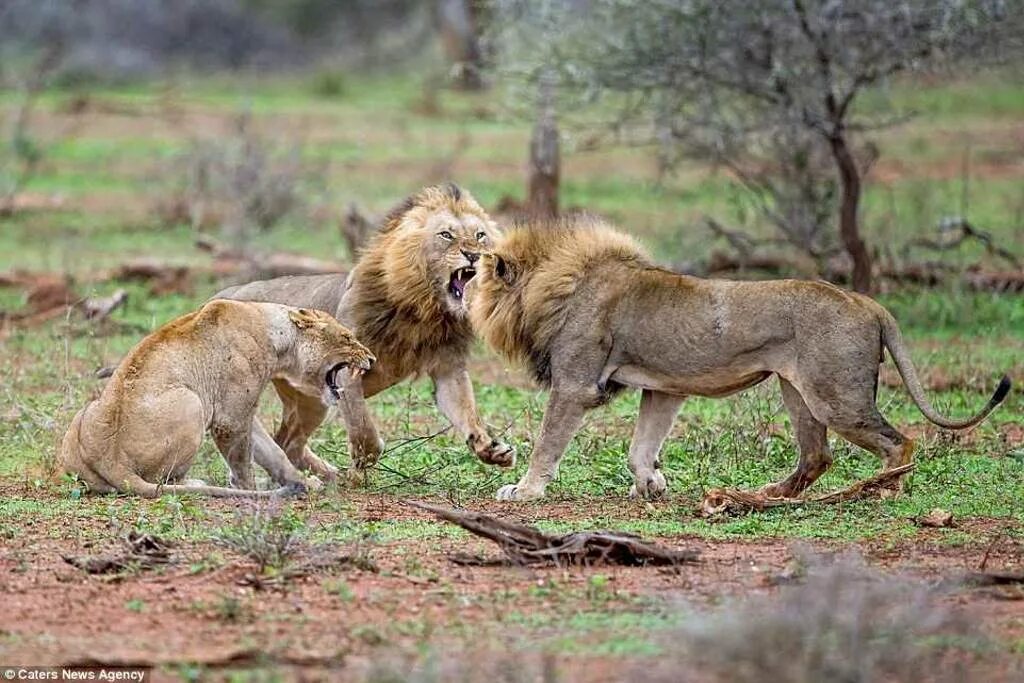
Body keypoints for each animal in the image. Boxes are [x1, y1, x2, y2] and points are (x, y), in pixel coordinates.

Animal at [58, 301, 374, 499]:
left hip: (86, 413)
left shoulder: (244, 414)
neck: (278, 338)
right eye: (347, 337)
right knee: (162, 481)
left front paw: (304, 482)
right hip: (192, 402)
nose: (372, 359)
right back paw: (197, 482)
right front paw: (251, 491)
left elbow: (273, 453)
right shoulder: (230, 419)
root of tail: (111, 461)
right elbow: (243, 461)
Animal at [219, 184, 516, 483]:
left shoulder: (448, 369)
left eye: (480, 235)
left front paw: (491, 448)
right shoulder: (345, 368)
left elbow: (466, 411)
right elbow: (363, 427)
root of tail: (224, 293)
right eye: (446, 235)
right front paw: (361, 464)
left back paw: (326, 477)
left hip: (310, 400)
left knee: (288, 442)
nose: (474, 255)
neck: (426, 310)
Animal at [468, 218, 1011, 501]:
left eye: (476, 275)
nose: (461, 283)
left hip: (836, 396)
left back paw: (882, 490)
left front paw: (524, 491)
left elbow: (547, 443)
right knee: (818, 455)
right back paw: (772, 495)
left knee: (901, 443)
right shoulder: (664, 388)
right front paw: (652, 486)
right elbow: (641, 447)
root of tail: (869, 302)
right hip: (799, 391)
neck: (556, 284)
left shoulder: (576, 384)